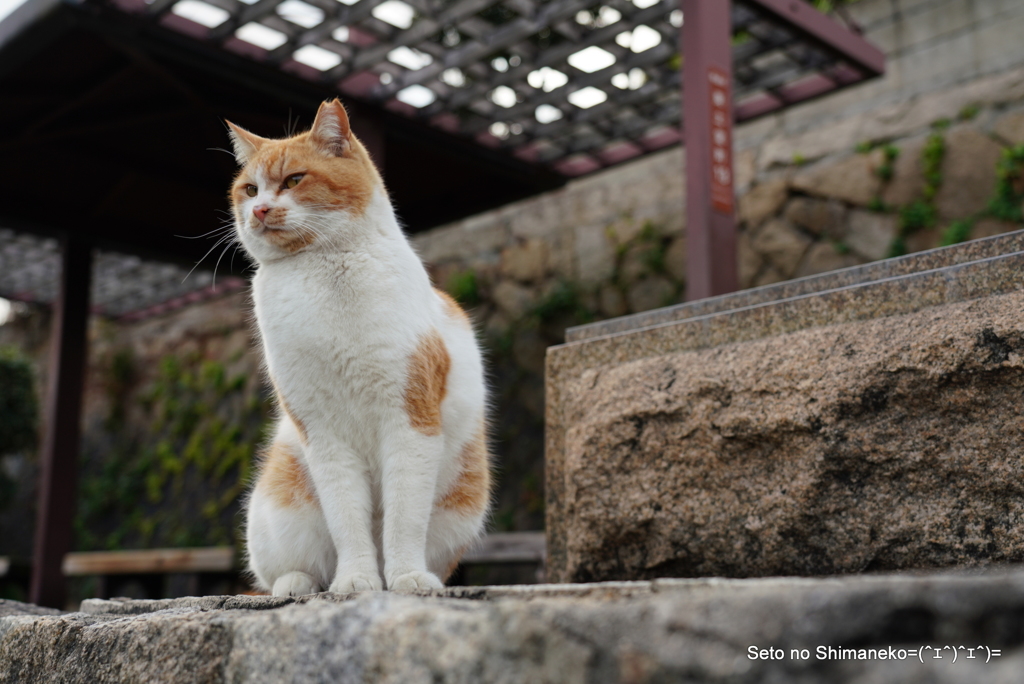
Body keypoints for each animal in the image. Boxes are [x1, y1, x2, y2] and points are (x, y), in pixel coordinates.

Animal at [229, 98, 491, 593]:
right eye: (250, 190)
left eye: (294, 180)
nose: (261, 210)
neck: (326, 270)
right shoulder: (323, 432)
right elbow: (347, 518)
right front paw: (355, 581)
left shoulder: (409, 419)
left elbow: (404, 518)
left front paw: (406, 578)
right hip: (278, 508)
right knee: (288, 569)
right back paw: (298, 584)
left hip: (463, 504)